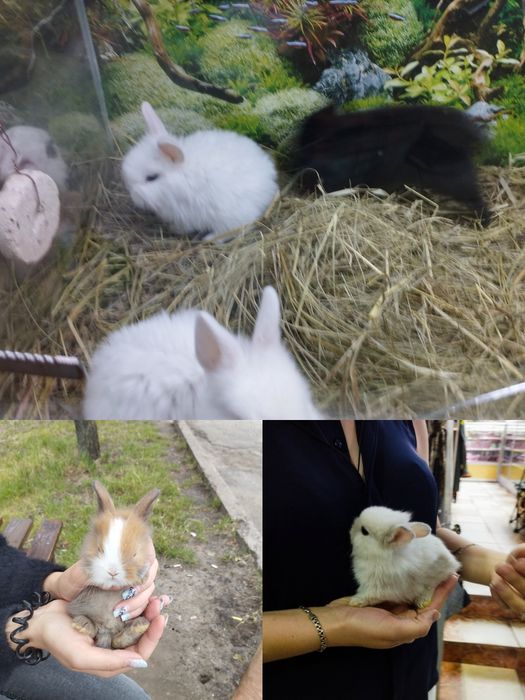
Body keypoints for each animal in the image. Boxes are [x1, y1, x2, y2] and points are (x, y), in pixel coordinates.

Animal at [68, 481, 160, 649]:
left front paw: (143, 578)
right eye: (99, 549)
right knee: (92, 629)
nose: (112, 572)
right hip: (79, 606)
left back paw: (138, 626)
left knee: (118, 640)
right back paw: (82, 624)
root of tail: (107, 629)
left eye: (134, 554)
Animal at [121, 101, 279, 238]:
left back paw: (209, 238)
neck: (183, 176)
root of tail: (270, 178)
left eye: (152, 177)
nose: (134, 197)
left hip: (231, 215)